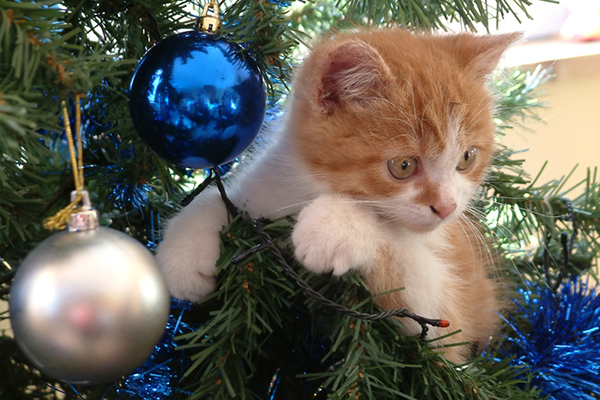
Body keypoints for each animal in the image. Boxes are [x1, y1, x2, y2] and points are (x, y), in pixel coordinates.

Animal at [156, 28, 520, 364]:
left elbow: (423, 293)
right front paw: (183, 256)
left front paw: (337, 226)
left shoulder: (454, 313)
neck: (310, 187)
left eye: (467, 158)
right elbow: (215, 198)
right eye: (403, 166)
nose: (446, 207)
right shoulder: (265, 187)